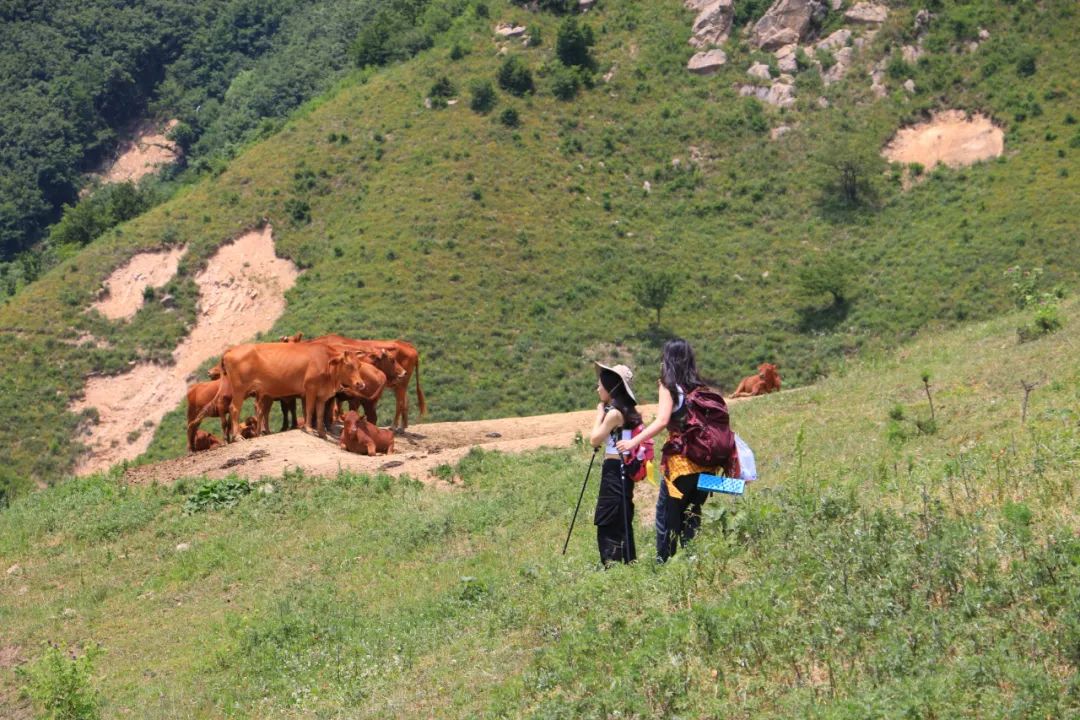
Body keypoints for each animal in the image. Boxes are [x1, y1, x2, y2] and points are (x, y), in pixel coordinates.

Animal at [222, 343, 367, 440]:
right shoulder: (310, 389)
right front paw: (308, 428)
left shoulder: (321, 396)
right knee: (234, 409)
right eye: (348, 365)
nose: (360, 384)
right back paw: (237, 436)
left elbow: (320, 413)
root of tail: (232, 349)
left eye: (359, 365)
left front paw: (322, 433)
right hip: (240, 389)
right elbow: (309, 409)